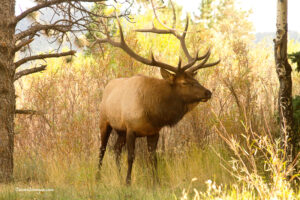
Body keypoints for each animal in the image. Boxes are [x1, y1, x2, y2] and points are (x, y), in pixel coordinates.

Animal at [96, 12, 220, 184]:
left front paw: (156, 183)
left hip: (119, 130)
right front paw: (128, 183)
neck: (152, 112)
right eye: (184, 82)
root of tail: (107, 86)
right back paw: (98, 178)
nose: (208, 92)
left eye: (195, 79)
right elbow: (131, 157)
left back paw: (119, 177)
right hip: (104, 121)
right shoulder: (130, 128)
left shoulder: (154, 132)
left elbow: (153, 159)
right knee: (102, 150)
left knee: (116, 150)